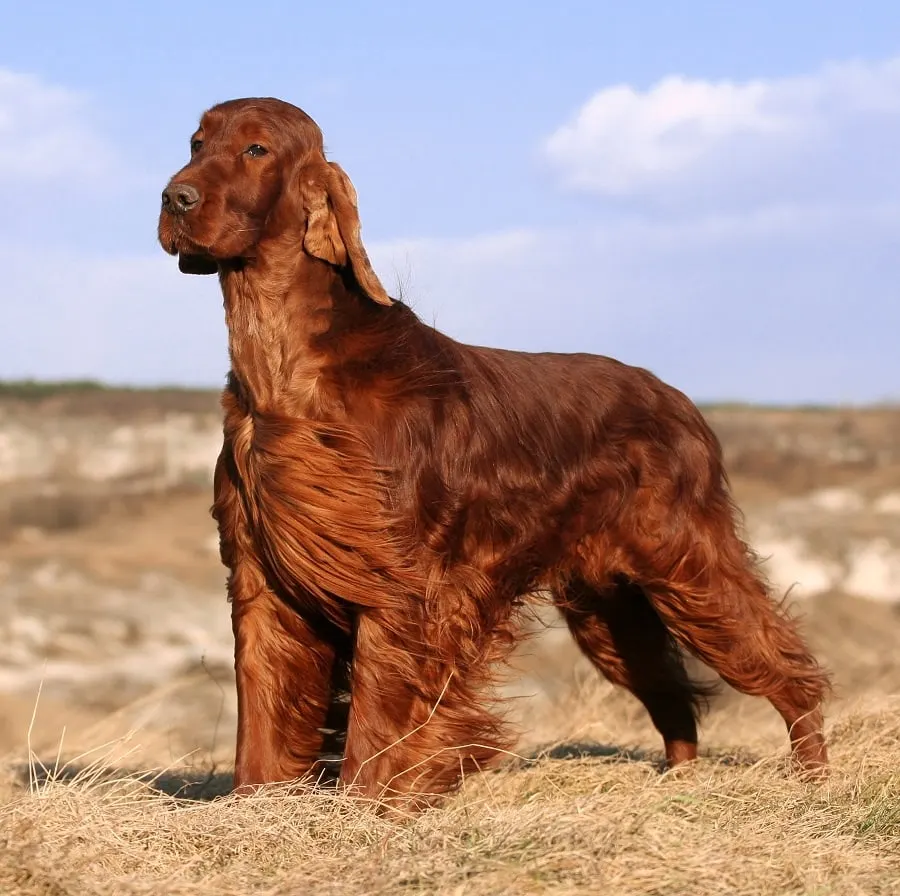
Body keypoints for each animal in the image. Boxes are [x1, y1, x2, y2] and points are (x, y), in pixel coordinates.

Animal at [156, 98, 828, 804]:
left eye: (256, 149)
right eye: (197, 142)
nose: (175, 197)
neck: (285, 374)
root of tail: (678, 400)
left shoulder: (402, 588)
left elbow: (375, 727)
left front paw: (365, 808)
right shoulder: (260, 581)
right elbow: (261, 721)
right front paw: (249, 807)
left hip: (690, 570)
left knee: (789, 669)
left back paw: (813, 779)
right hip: (610, 606)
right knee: (673, 699)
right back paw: (676, 787)